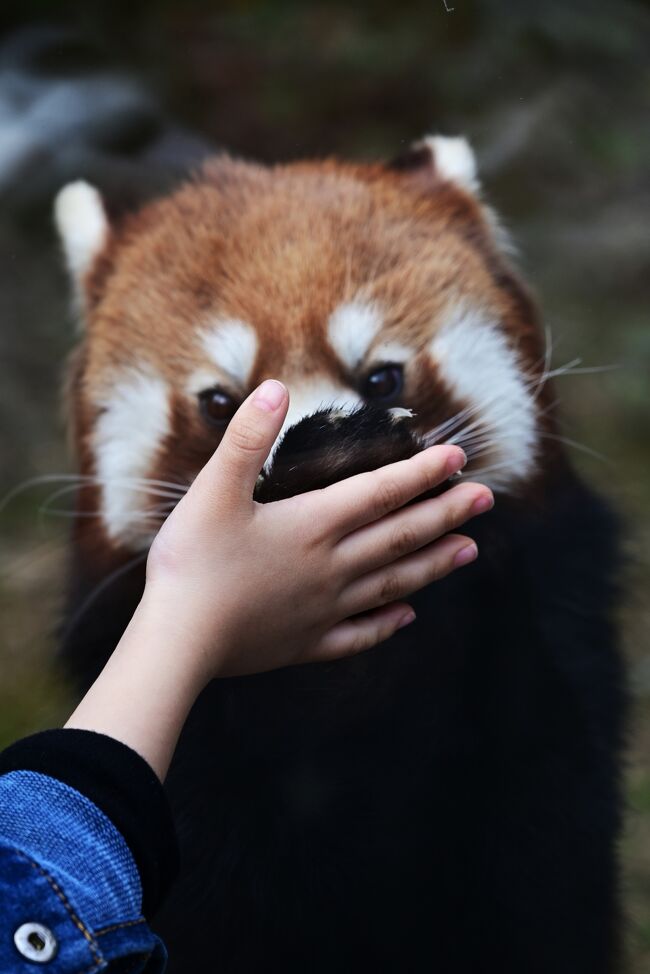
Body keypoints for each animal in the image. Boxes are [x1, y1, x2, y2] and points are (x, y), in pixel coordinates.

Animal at [54, 135, 624, 974]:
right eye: (220, 404)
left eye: (382, 375)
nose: (314, 451)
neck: (350, 679)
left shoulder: (557, 630)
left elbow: (546, 851)